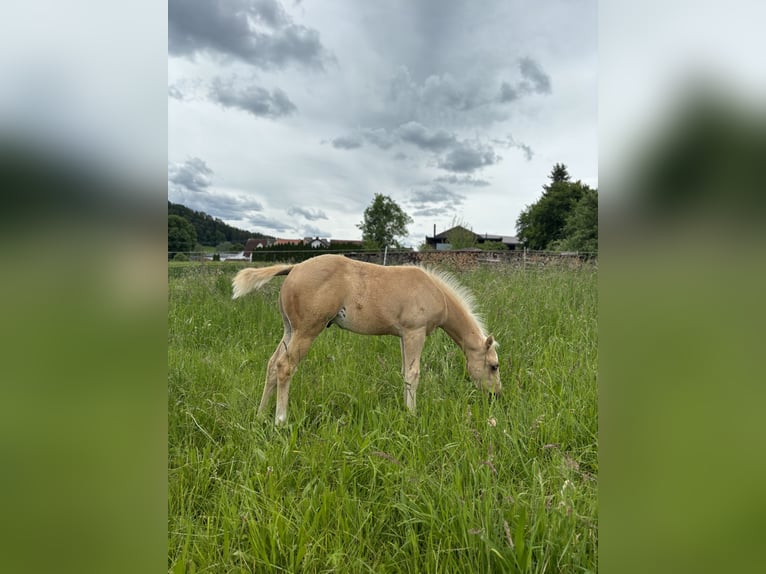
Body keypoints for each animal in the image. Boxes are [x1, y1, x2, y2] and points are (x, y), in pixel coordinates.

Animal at [231, 254, 500, 426]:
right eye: (494, 366)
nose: (495, 396)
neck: (435, 292)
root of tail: (294, 267)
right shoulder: (415, 332)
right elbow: (413, 374)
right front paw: (412, 416)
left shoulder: (403, 336)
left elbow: (404, 373)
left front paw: (405, 410)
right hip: (307, 330)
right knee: (285, 366)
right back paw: (280, 420)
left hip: (289, 329)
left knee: (271, 365)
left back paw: (260, 415)